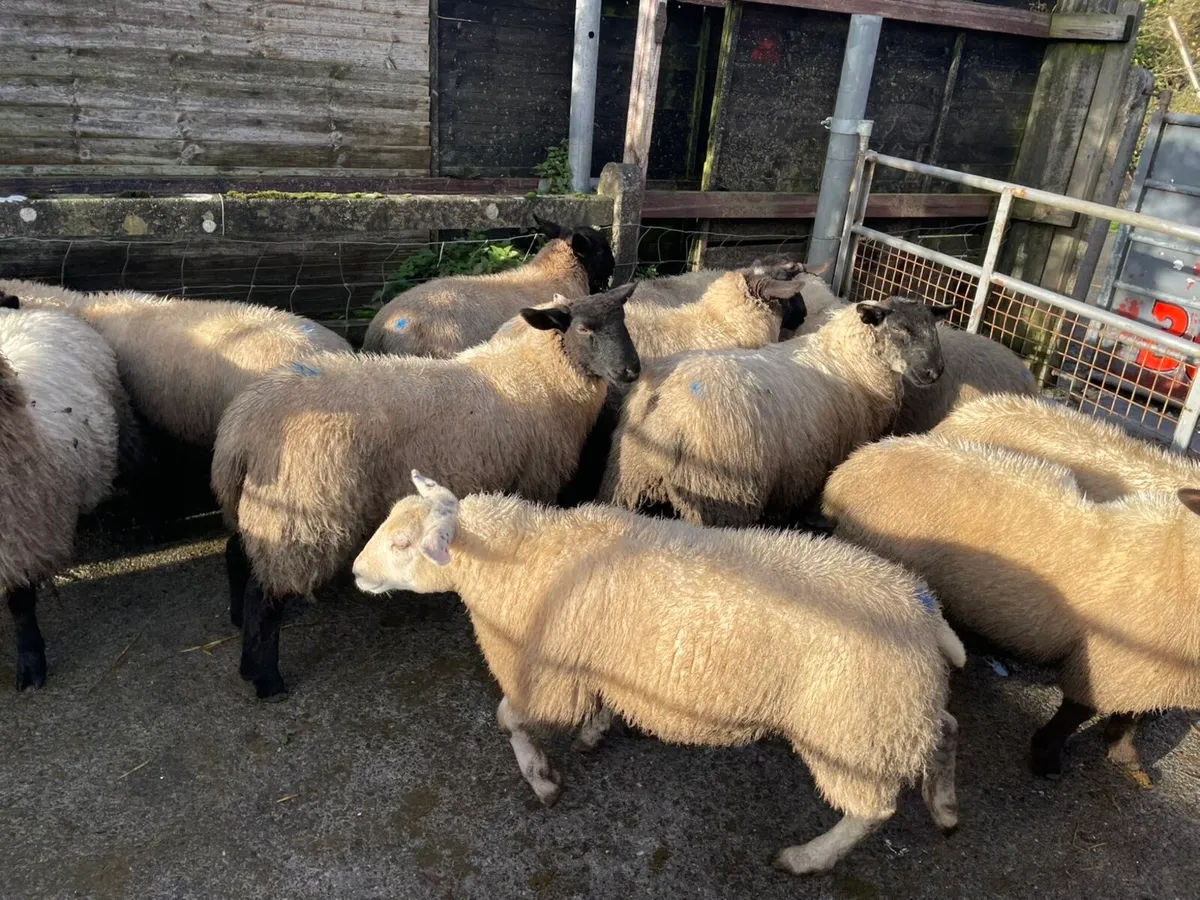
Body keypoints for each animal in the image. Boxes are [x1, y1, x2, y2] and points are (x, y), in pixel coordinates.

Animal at [213, 284, 641, 700]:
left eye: (622, 321)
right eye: (584, 328)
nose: (632, 371)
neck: (536, 371)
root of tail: (241, 430)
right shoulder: (537, 476)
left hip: (258, 508)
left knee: (237, 554)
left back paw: (240, 636)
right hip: (298, 514)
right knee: (264, 597)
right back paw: (266, 681)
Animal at [352, 470, 965, 875]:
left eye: (403, 544)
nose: (356, 572)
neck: (524, 556)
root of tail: (922, 611)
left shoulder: (546, 674)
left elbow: (509, 718)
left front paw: (542, 778)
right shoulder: (591, 663)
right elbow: (585, 707)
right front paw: (595, 731)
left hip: (851, 726)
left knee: (871, 810)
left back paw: (809, 857)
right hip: (894, 712)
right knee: (946, 732)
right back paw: (946, 807)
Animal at [600, 297, 949, 526]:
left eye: (934, 328)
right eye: (900, 329)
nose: (935, 372)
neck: (851, 359)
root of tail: (663, 397)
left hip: (628, 480)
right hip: (720, 495)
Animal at [822, 432, 1200, 780]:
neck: (1177, 559)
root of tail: (849, 470)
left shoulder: (1151, 670)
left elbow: (1130, 716)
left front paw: (1124, 755)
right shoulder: (1112, 664)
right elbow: (1074, 714)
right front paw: (1046, 758)